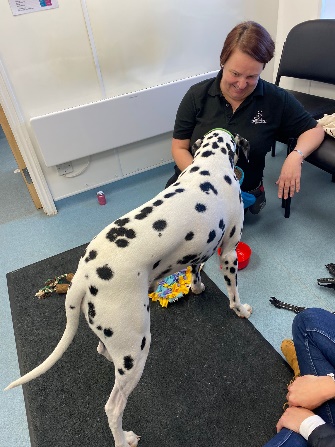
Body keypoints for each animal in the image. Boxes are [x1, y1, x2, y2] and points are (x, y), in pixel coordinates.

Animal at [5, 128, 252, 446]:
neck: (211, 165)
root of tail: (83, 276)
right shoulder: (229, 252)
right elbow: (233, 292)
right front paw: (240, 309)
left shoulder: (199, 250)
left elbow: (196, 270)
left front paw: (197, 288)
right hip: (136, 350)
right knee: (113, 407)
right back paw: (124, 439)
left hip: (118, 341)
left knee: (102, 349)